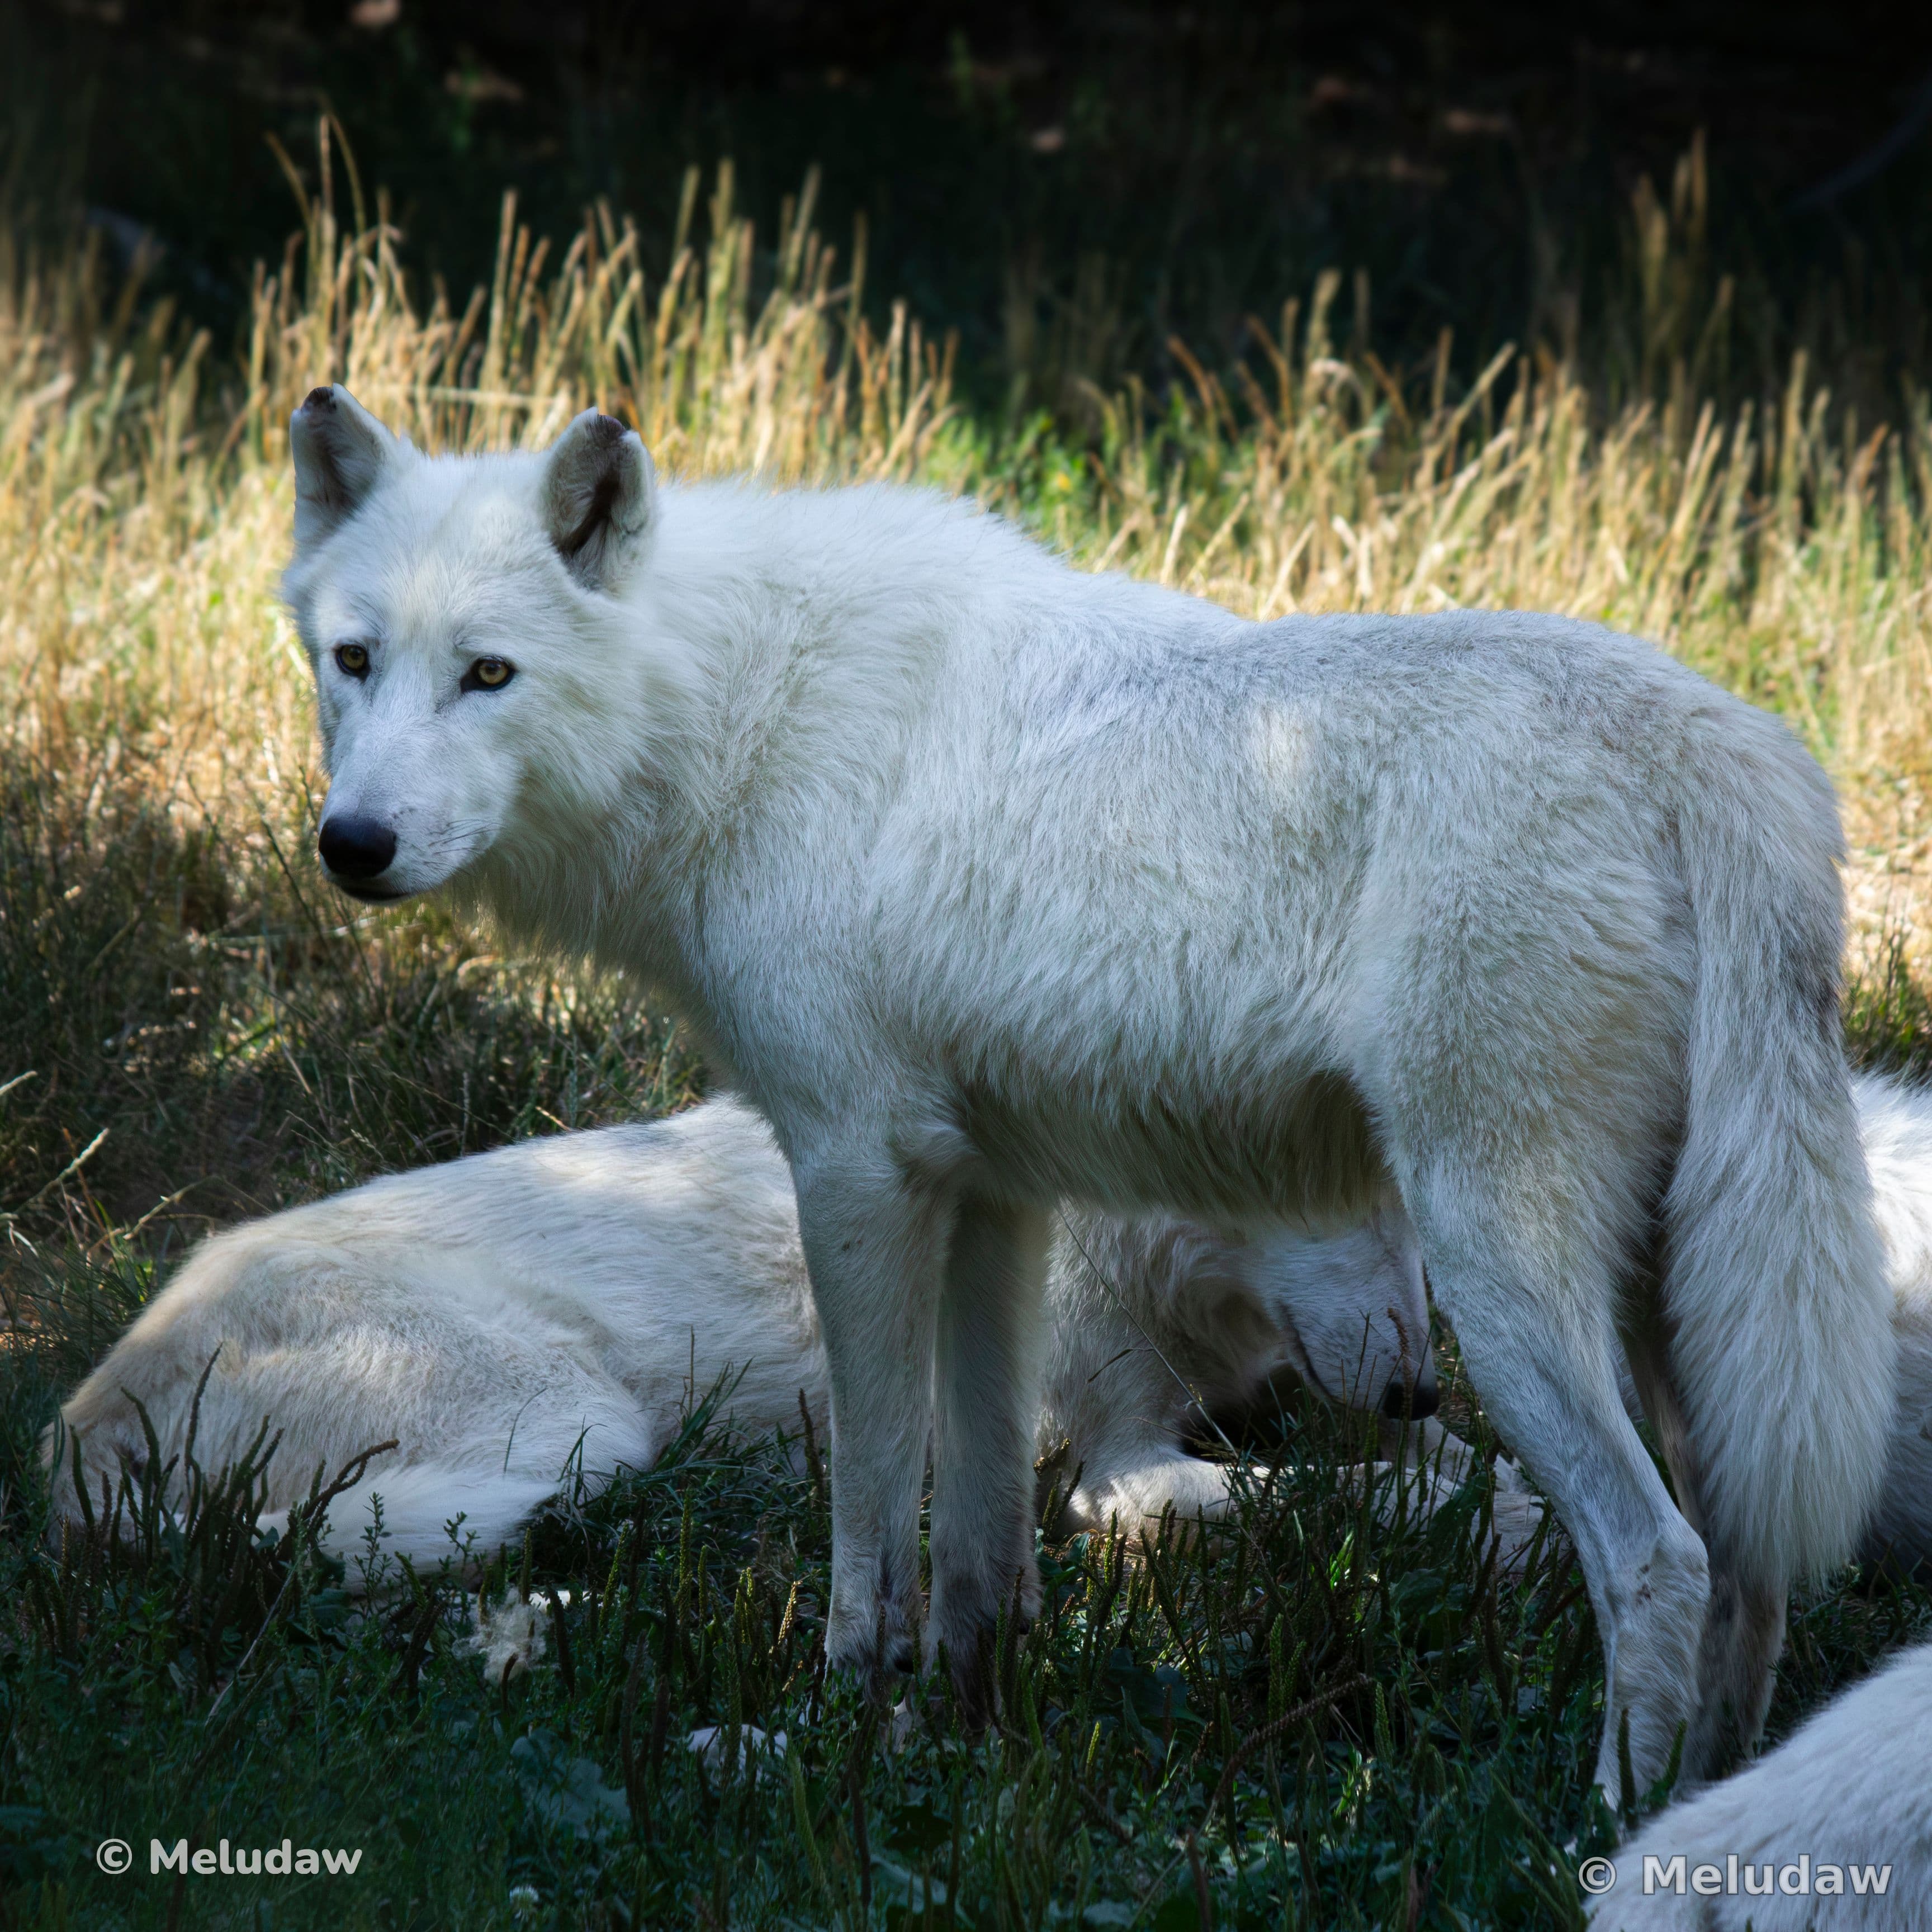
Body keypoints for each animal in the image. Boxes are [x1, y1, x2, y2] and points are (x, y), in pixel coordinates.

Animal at [47, 1095, 1442, 1567]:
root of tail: (81, 1427)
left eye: (1434, 1225)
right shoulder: (1108, 1473)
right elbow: (1364, 1492)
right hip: (576, 1429)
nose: (1425, 1392)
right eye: (1357, 1208)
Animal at [279, 385, 1893, 1787]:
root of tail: (1721, 739)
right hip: (1665, 1304)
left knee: (1658, 1558)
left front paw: (828, 1746)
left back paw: (1604, 1826)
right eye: (354, 660)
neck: (740, 717)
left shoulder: (854, 1173)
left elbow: (875, 1522)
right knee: (1750, 1568)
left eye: (490, 673)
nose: (351, 847)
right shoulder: (995, 1200)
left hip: (1503, 1283)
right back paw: (1706, 1805)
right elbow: (984, 1541)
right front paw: (957, 1745)